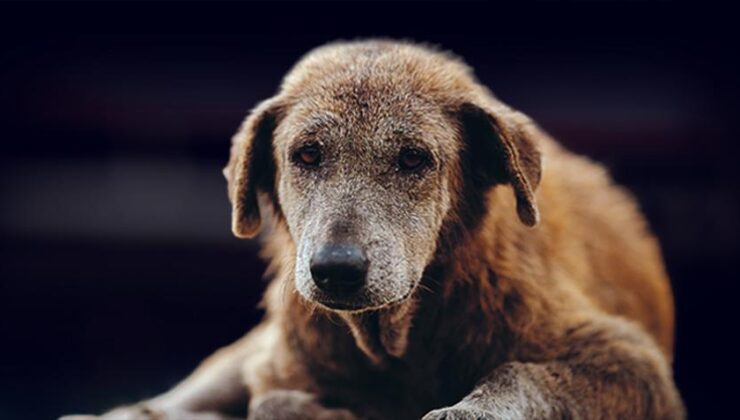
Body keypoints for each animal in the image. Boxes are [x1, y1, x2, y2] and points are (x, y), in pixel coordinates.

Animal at [62, 39, 684, 420]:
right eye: (306, 155)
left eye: (414, 159)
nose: (336, 270)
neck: (400, 341)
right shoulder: (279, 364)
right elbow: (272, 402)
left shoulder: (630, 361)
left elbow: (521, 376)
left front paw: (461, 410)